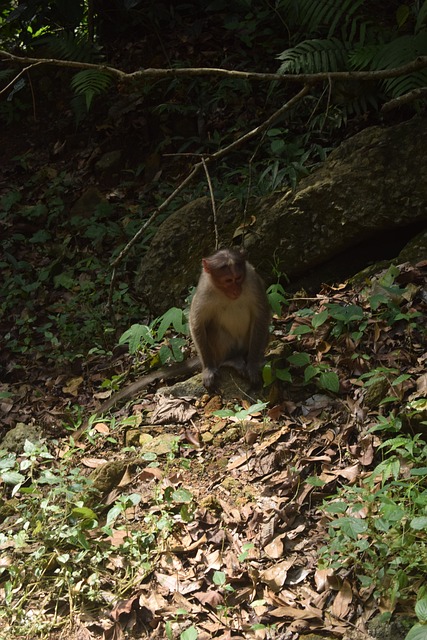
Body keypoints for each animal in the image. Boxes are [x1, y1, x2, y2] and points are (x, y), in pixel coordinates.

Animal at [189, 249, 270, 390]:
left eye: (238, 278)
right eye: (228, 280)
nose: (236, 290)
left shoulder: (252, 279)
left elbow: (262, 315)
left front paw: (253, 364)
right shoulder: (204, 289)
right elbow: (197, 323)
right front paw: (208, 368)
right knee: (215, 331)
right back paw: (230, 360)